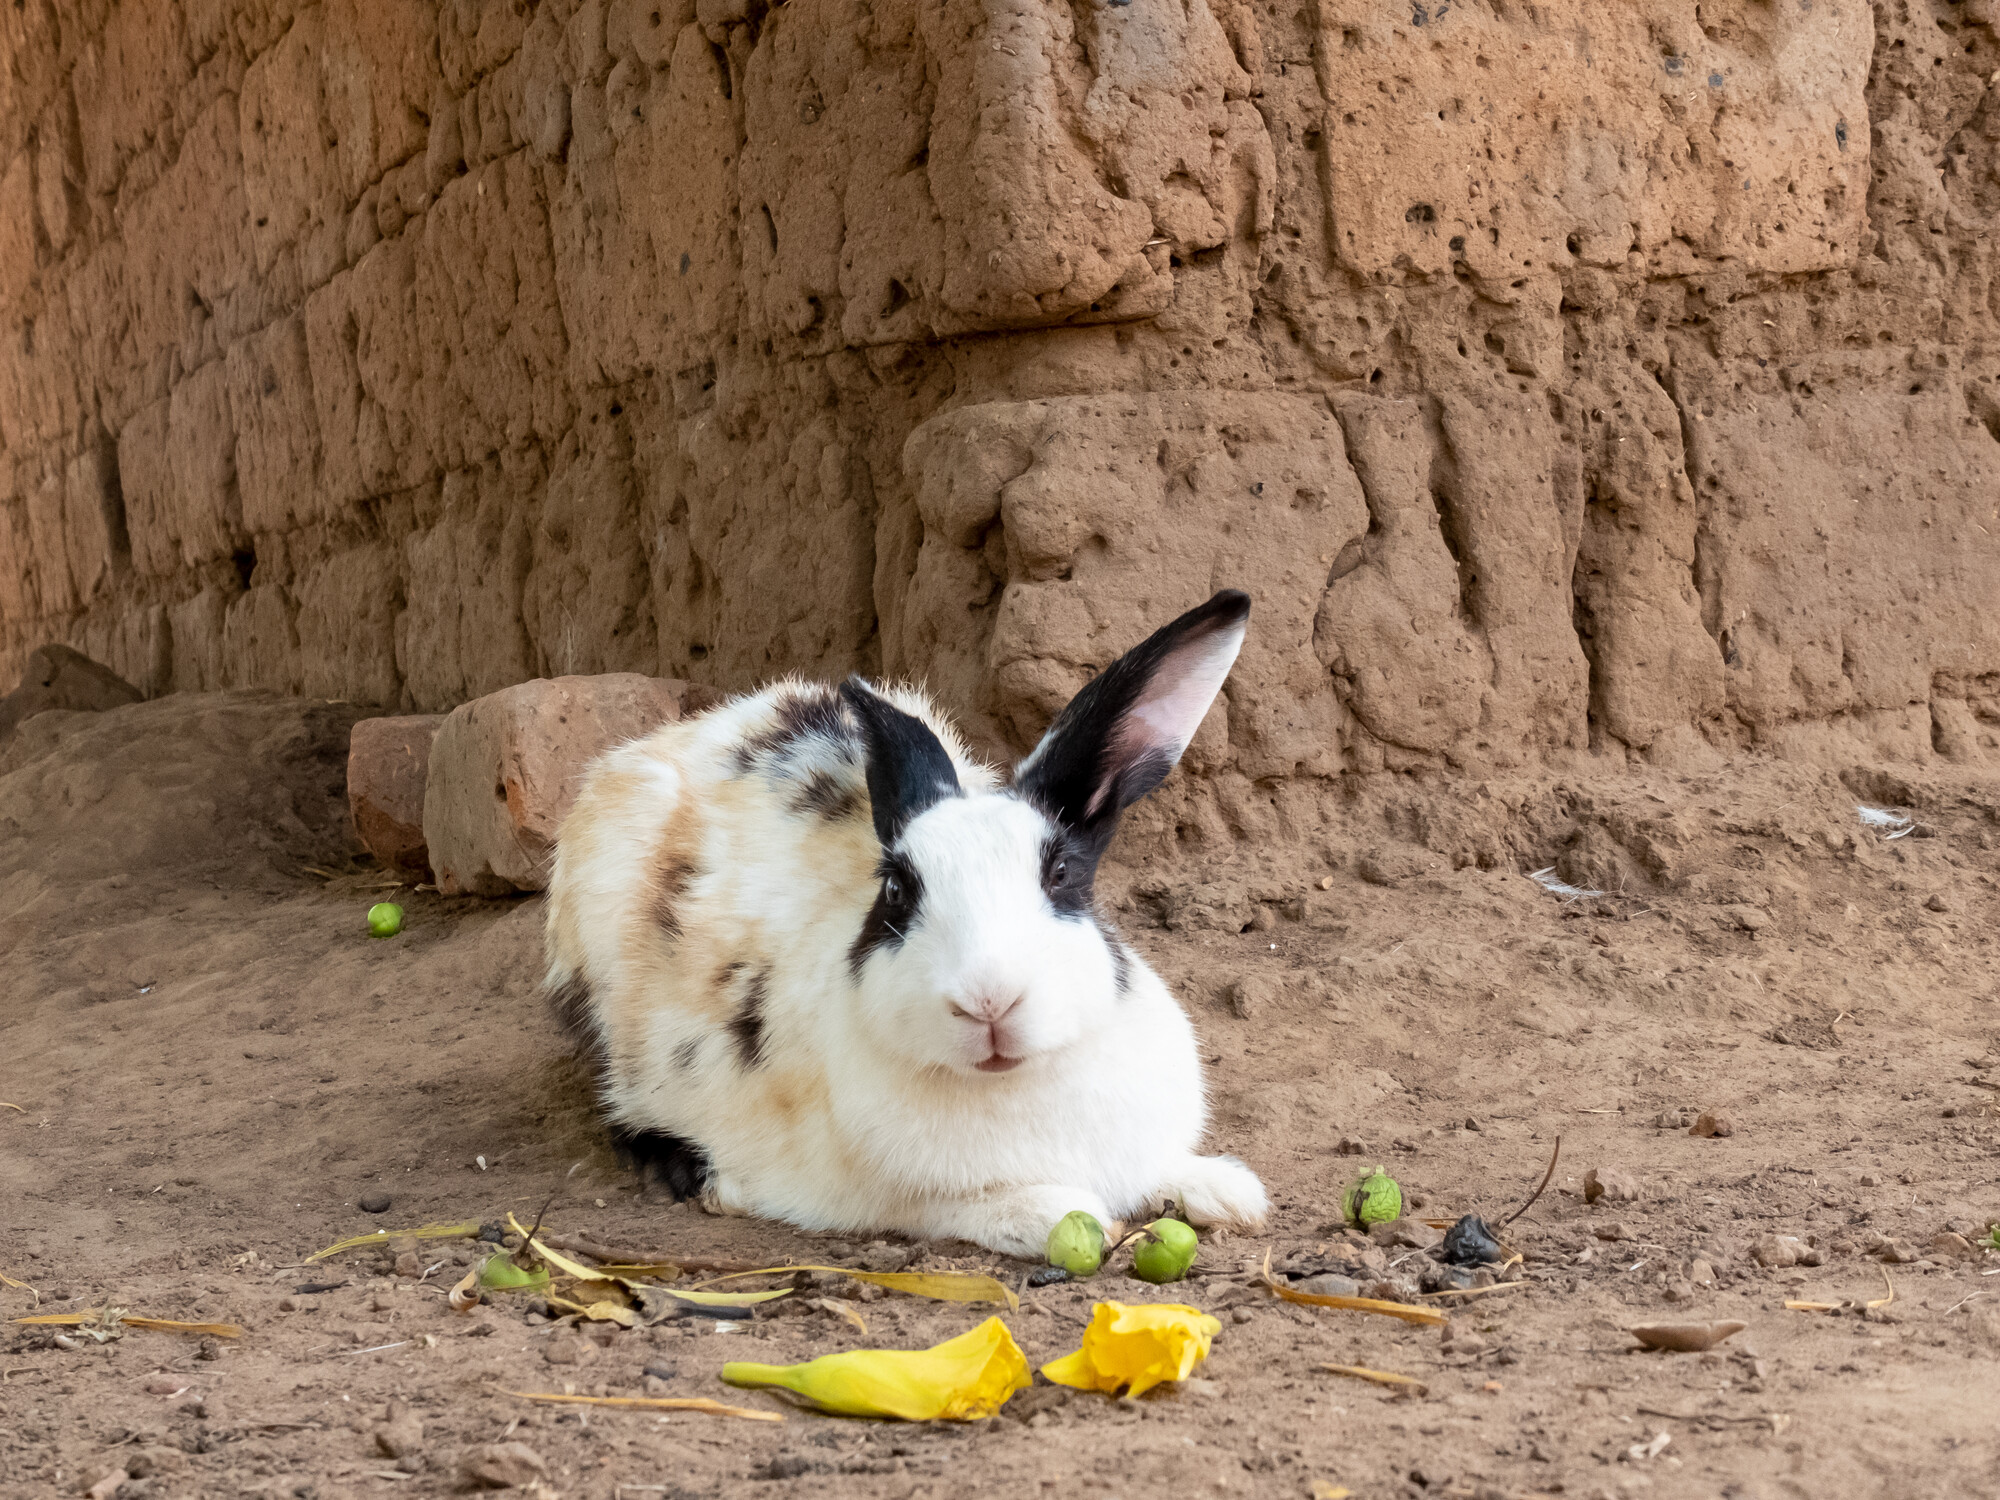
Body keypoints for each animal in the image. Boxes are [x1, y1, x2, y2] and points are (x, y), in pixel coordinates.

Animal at [548, 588, 1264, 1256]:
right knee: (622, 1107)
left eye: (1061, 873)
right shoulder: (889, 1197)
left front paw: (1229, 1191)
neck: (1016, 1082)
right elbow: (988, 1208)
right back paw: (692, 1174)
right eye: (896, 889)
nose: (988, 1000)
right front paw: (1056, 1215)